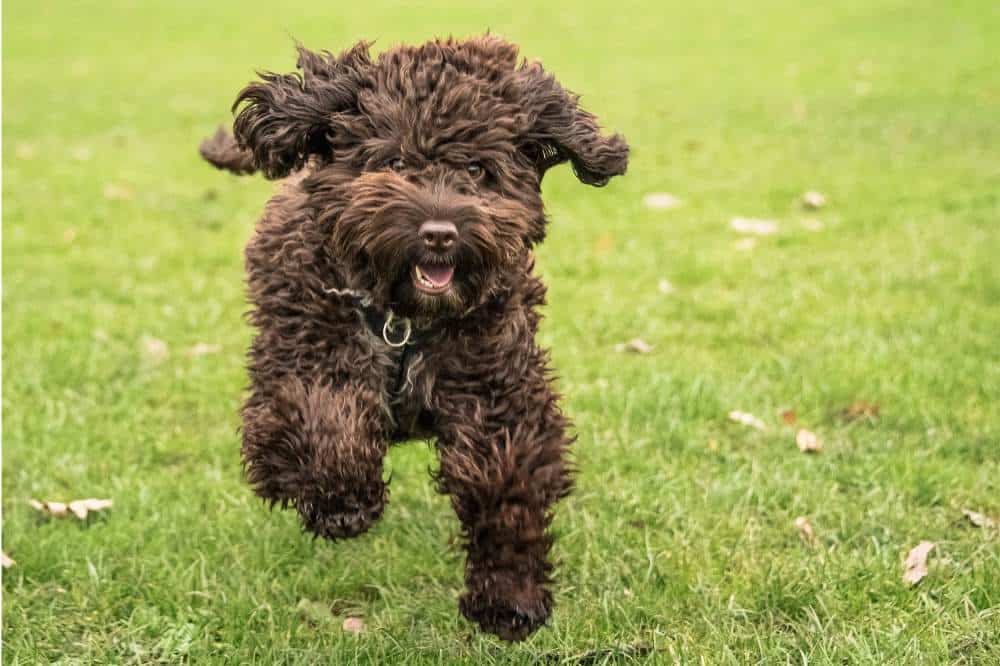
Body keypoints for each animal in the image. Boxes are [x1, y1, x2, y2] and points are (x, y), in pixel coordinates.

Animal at [199, 36, 628, 640]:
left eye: (476, 167)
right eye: (396, 162)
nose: (440, 233)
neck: (404, 320)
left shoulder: (496, 386)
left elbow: (506, 485)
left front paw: (509, 596)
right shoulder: (303, 354)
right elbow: (325, 416)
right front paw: (341, 502)